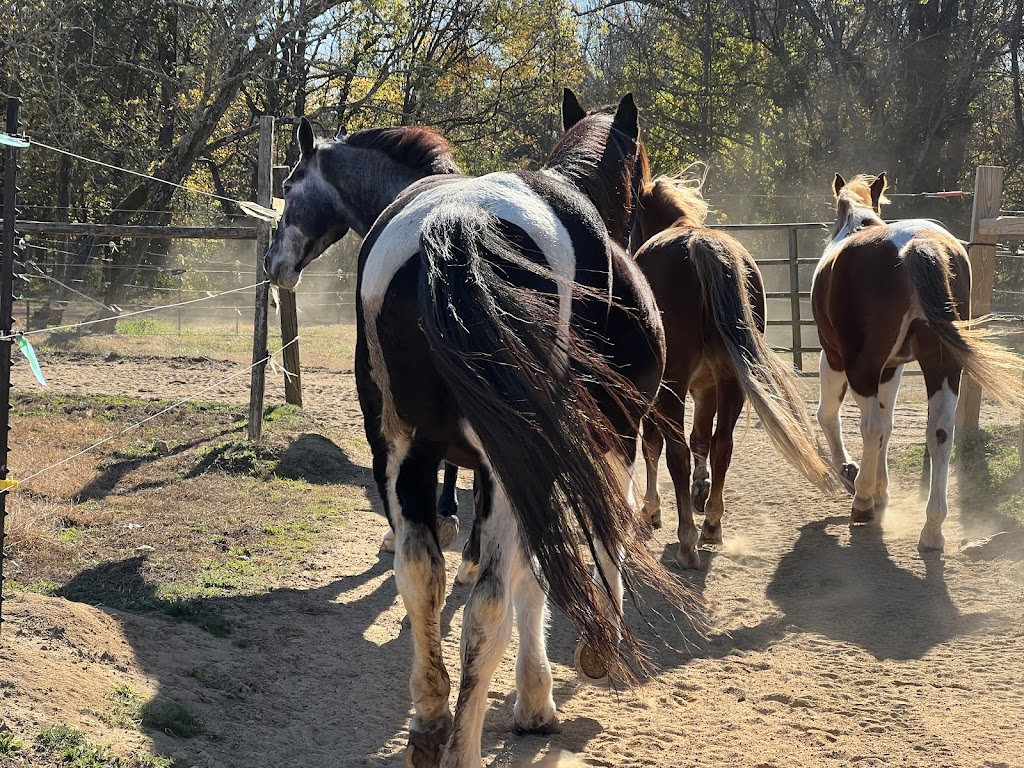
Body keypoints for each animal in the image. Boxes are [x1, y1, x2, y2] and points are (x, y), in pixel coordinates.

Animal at [264, 97, 700, 768]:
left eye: (289, 186)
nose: (274, 263)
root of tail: (459, 226)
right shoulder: (597, 447)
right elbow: (576, 555)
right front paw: (563, 675)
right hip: (520, 457)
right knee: (489, 604)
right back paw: (464, 739)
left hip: (403, 449)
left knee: (422, 575)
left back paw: (431, 717)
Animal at [618, 174, 835, 573]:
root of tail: (698, 245)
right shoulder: (707, 388)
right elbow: (701, 440)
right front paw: (700, 490)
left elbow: (654, 445)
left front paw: (652, 510)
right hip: (731, 382)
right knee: (722, 445)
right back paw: (712, 524)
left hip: (674, 386)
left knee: (675, 452)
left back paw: (688, 540)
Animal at [815, 173, 1024, 552]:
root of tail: (919, 244)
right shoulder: (892, 367)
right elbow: (890, 423)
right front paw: (881, 490)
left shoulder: (836, 359)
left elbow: (833, 416)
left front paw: (853, 474)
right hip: (943, 365)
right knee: (939, 432)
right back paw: (932, 529)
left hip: (861, 366)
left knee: (872, 426)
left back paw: (862, 502)